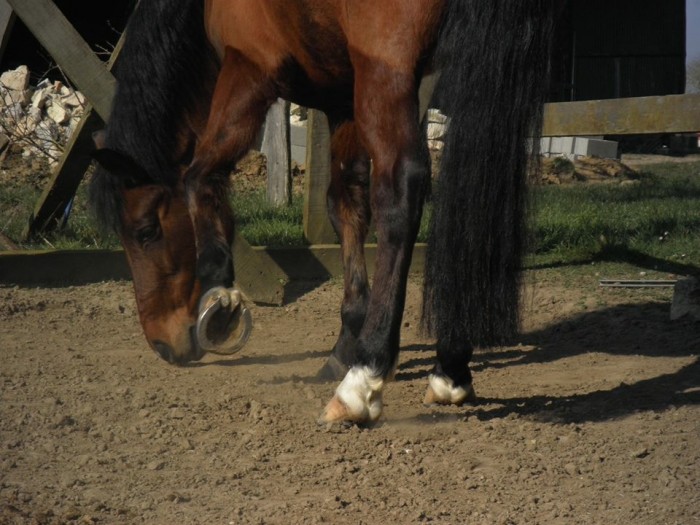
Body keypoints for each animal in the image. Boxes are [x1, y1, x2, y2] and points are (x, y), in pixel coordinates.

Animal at [90, 0, 556, 424]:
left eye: (145, 230)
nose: (162, 344)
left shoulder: (248, 67)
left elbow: (201, 174)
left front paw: (220, 299)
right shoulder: (340, 99)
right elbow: (344, 204)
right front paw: (344, 343)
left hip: (385, 69)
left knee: (401, 190)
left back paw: (363, 380)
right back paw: (450, 367)